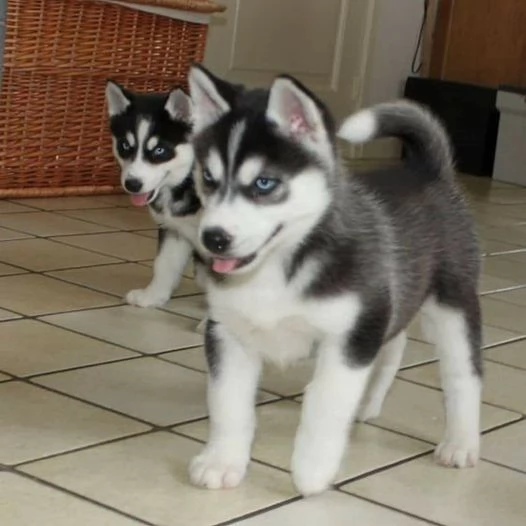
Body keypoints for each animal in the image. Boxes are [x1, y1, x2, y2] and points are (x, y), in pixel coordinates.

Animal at [105, 82, 202, 310]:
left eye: (159, 150)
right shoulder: (175, 228)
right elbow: (164, 264)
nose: (132, 184)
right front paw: (152, 297)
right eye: (125, 146)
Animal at [188, 64, 484, 498]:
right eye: (208, 178)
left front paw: (312, 471)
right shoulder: (227, 333)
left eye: (264, 184)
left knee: (464, 375)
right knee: (394, 345)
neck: (279, 266)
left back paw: (461, 443)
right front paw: (222, 462)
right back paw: (367, 404)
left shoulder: (350, 339)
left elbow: (324, 406)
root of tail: (427, 170)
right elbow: (227, 404)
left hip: (453, 305)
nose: (213, 239)